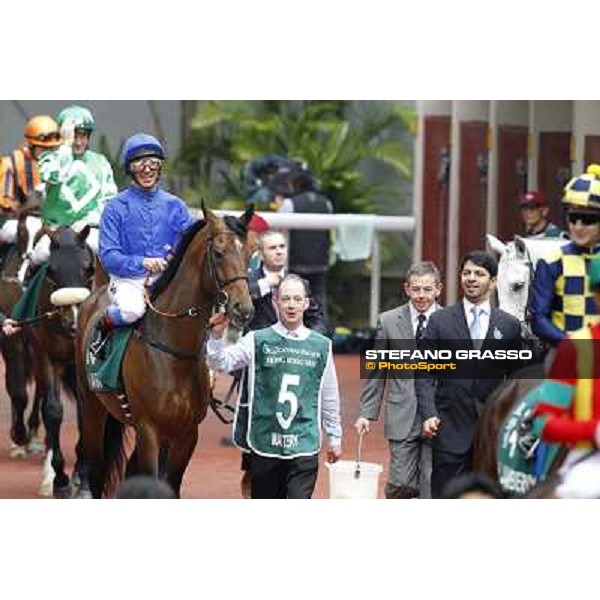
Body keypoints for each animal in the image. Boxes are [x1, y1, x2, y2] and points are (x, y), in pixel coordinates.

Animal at [74, 205, 254, 496]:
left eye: (249, 252)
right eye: (218, 253)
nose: (244, 309)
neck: (174, 354)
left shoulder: (186, 432)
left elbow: (170, 485)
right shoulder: (149, 429)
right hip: (91, 407)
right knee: (97, 472)